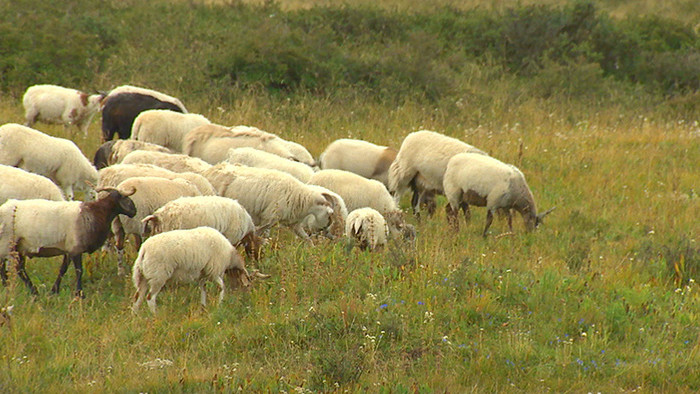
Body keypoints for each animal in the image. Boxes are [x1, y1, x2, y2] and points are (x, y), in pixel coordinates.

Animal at [0, 188, 136, 296]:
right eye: (126, 198)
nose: (134, 211)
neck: (95, 213)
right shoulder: (76, 249)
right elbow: (79, 271)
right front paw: (80, 294)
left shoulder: (69, 249)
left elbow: (63, 270)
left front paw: (54, 291)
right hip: (7, 244)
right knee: (8, 267)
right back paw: (20, 289)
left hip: (19, 247)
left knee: (19, 268)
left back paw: (25, 289)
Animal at [202, 162, 334, 242]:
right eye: (329, 215)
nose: (326, 233)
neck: (302, 197)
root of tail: (211, 169)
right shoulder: (268, 218)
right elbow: (262, 235)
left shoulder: (294, 224)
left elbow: (307, 239)